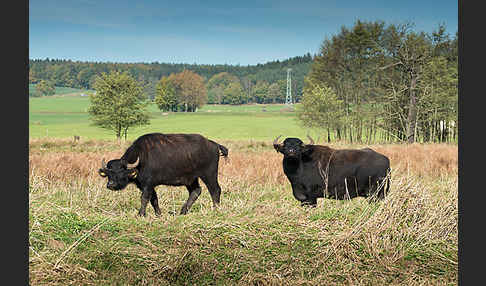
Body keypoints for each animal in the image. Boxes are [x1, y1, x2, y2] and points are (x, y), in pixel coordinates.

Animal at [98, 133, 230, 216]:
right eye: (109, 172)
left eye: (121, 170)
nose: (110, 185)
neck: (142, 158)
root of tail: (213, 144)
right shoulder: (148, 185)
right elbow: (154, 200)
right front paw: (158, 214)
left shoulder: (148, 185)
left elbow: (144, 198)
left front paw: (141, 214)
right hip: (191, 179)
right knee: (196, 191)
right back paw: (183, 211)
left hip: (209, 174)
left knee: (215, 190)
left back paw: (215, 210)